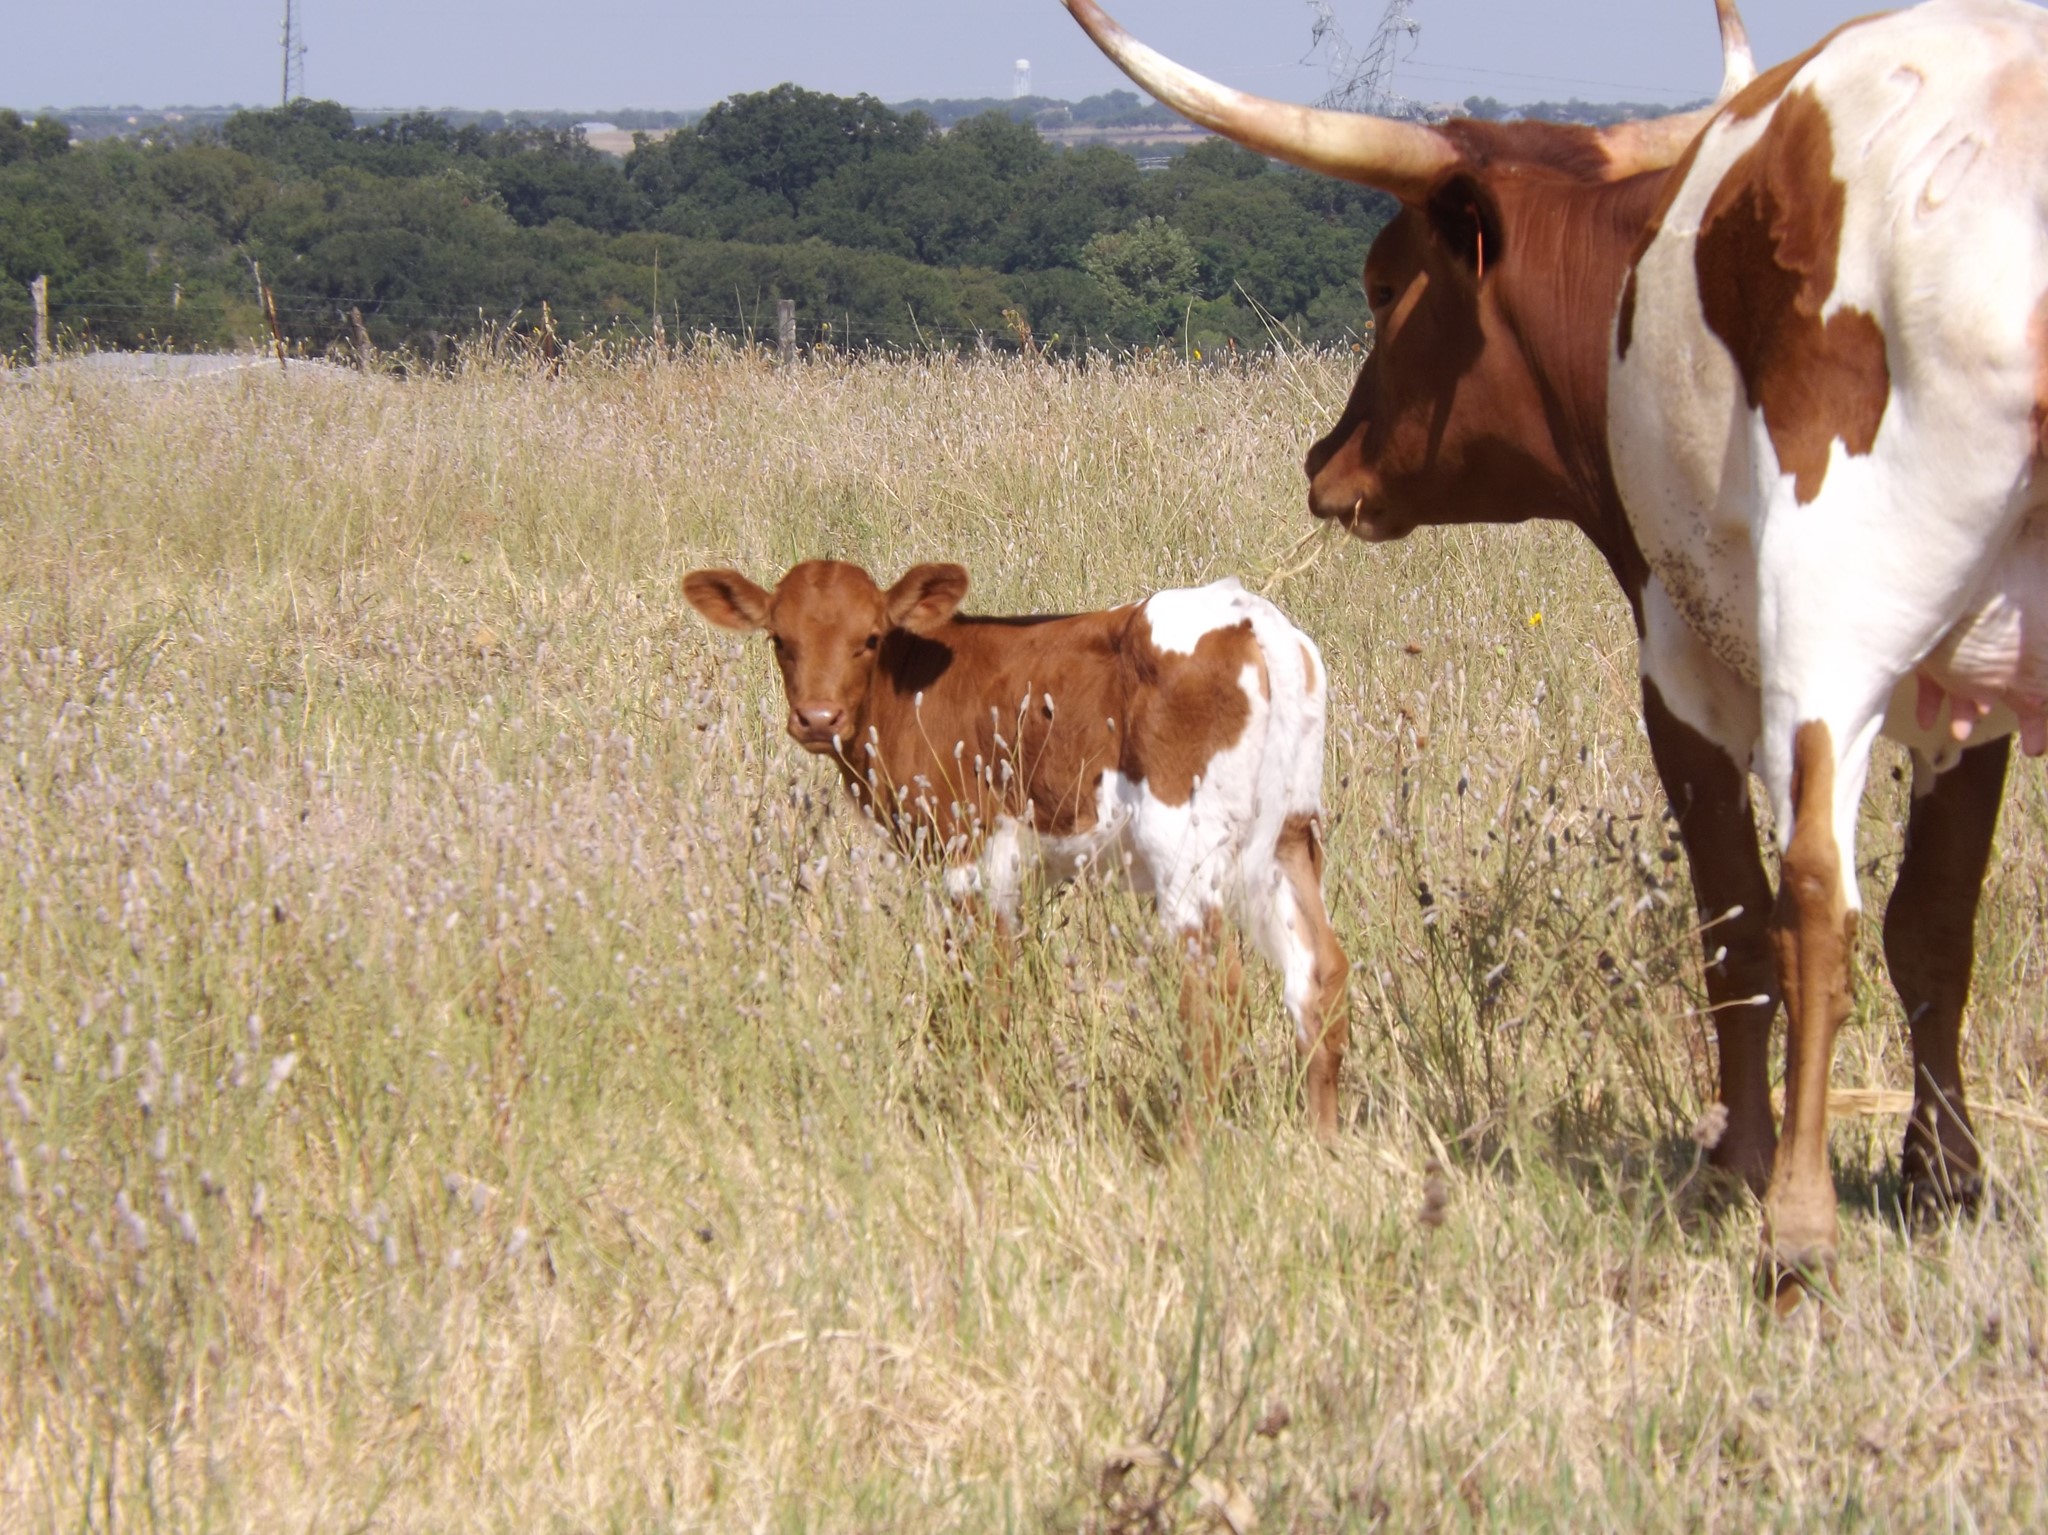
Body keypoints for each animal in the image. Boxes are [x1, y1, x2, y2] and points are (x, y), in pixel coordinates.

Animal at [681, 559, 1352, 1139]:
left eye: (869, 638)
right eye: (779, 639)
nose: (818, 718)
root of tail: (1249, 614)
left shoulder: (968, 850)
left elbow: (982, 986)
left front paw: (977, 1111)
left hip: (1185, 845)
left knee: (1214, 996)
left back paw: (1190, 1152)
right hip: (1292, 833)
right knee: (1319, 974)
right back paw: (1321, 1146)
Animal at [1063, 0, 2042, 1303]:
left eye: (1382, 285)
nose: (1323, 460)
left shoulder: (1678, 665)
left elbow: (1738, 920)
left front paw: (1732, 1163)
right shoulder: (1965, 687)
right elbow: (1932, 924)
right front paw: (1942, 1175)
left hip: (1831, 621)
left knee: (1813, 900)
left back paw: (1793, 1227)